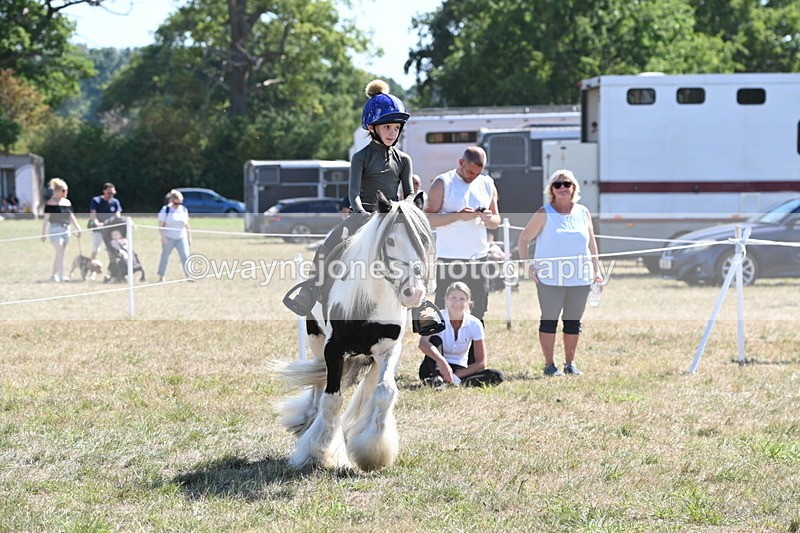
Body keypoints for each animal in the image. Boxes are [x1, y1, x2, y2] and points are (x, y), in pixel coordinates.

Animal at [275, 191, 435, 472]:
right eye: (390, 240)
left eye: (423, 239)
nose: (413, 293)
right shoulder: (333, 349)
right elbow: (331, 399)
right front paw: (318, 452)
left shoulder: (388, 350)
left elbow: (384, 392)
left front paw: (372, 452)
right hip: (315, 341)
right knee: (318, 386)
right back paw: (308, 421)